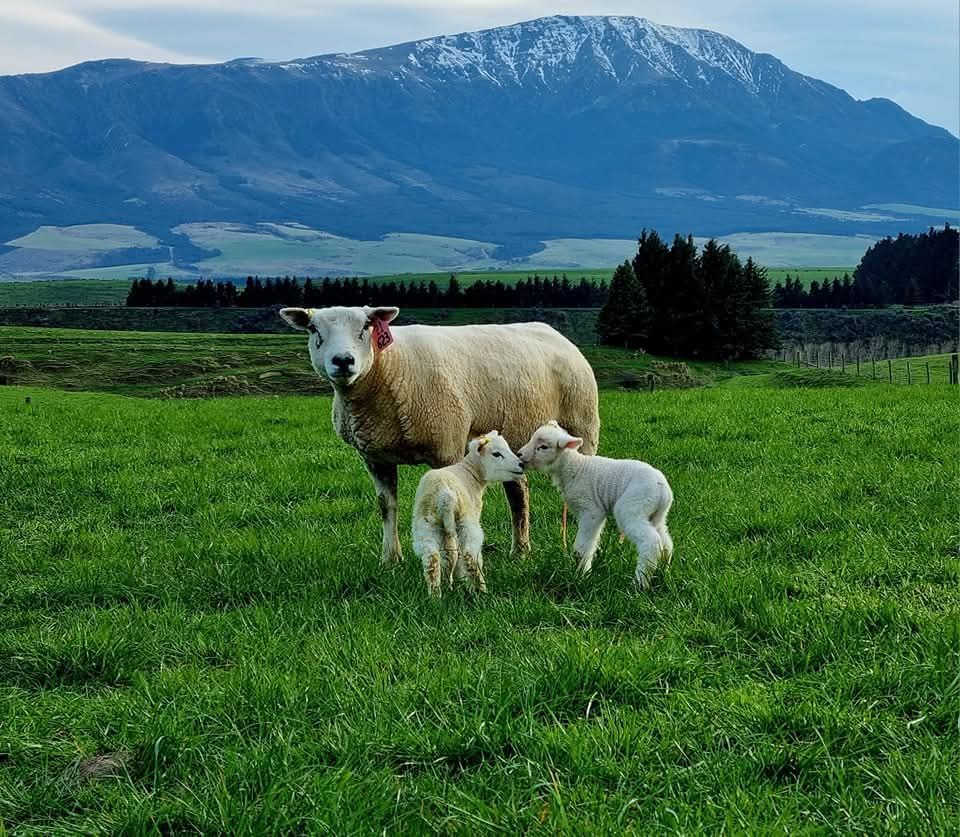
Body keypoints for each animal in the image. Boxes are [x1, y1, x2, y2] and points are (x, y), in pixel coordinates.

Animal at [278, 305, 599, 563]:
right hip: (514, 443)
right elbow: (386, 506)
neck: (388, 367)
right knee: (519, 491)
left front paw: (453, 560)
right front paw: (390, 559)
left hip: (583, 424)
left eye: (366, 327)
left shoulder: (447, 448)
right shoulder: (374, 457)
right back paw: (520, 551)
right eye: (313, 329)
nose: (343, 360)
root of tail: (554, 333)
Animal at [412, 430, 524, 595]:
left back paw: (436, 595)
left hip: (426, 523)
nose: (521, 464)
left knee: (432, 559)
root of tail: (444, 495)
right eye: (496, 454)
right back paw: (480, 590)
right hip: (465, 521)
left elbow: (450, 555)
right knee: (470, 555)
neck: (470, 473)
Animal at [518, 421, 673, 589]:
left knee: (651, 541)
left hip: (632, 507)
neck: (573, 467)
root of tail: (663, 490)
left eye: (543, 447)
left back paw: (639, 583)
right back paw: (663, 572)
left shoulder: (591, 511)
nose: (519, 455)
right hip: (655, 514)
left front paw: (582, 574)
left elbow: (582, 548)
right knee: (666, 542)